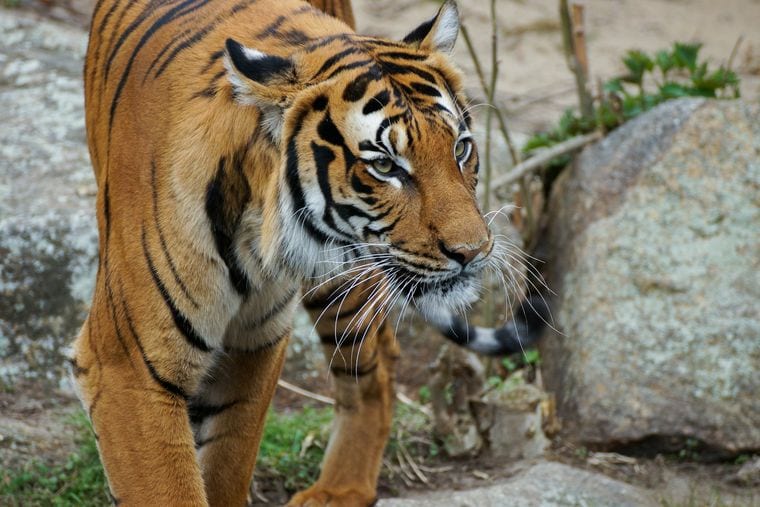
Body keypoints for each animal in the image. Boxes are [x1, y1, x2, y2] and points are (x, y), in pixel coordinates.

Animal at [71, 0, 547, 505]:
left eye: (460, 148)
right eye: (385, 166)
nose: (474, 252)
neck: (252, 240)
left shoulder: (253, 343)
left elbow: (227, 464)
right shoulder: (128, 367)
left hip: (343, 283)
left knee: (375, 371)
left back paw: (340, 490)